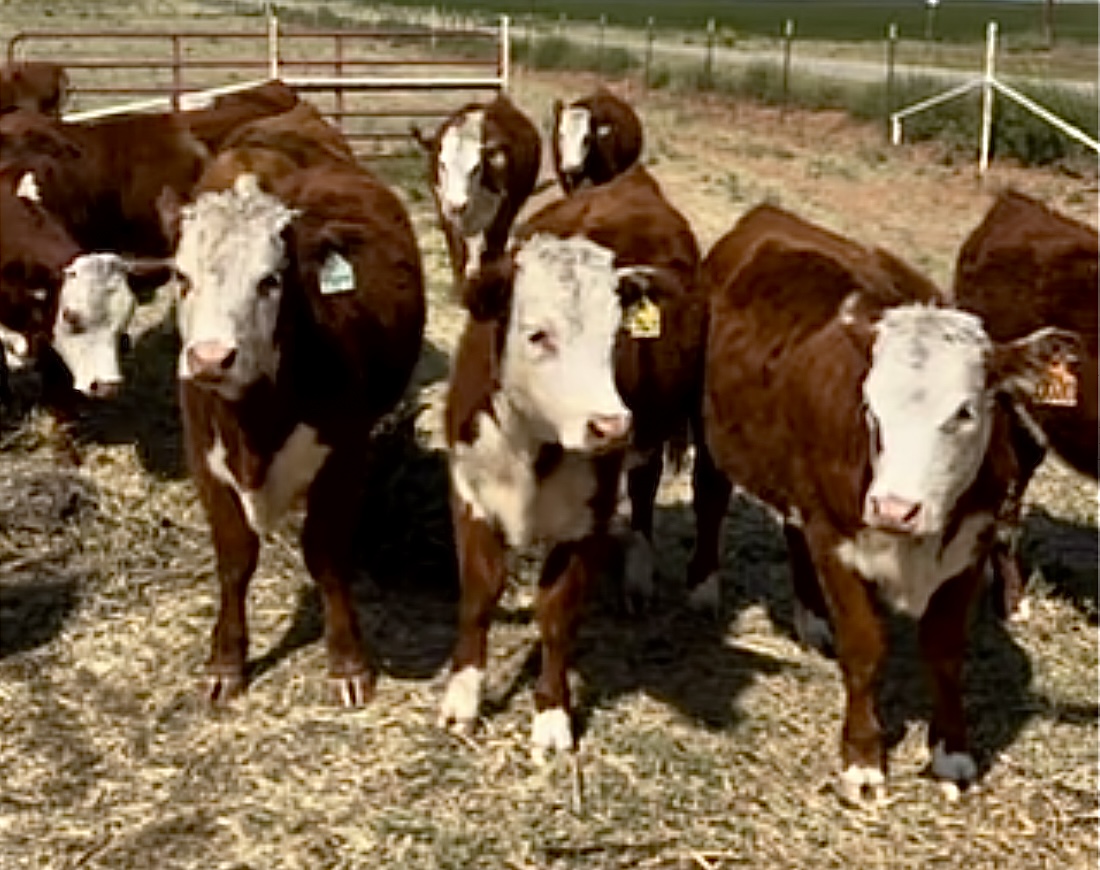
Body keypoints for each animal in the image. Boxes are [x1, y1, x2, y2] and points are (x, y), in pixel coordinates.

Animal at [167, 149, 424, 703]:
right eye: (182, 278)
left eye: (269, 281)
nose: (210, 358)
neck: (254, 425)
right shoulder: (204, 461)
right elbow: (235, 558)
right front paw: (225, 660)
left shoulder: (343, 457)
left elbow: (325, 555)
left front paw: (348, 661)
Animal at [413, 94, 541, 285]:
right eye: (442, 164)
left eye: (476, 167)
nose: (457, 204)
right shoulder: (446, 214)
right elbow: (458, 255)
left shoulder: (501, 215)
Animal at [444, 164, 712, 756]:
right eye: (537, 334)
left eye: (616, 337)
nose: (610, 425)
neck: (531, 443)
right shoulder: (469, 489)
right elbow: (478, 594)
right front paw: (463, 697)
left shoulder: (588, 515)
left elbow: (557, 613)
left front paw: (551, 715)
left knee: (644, 491)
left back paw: (637, 574)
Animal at [704, 204, 1073, 805]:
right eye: (871, 409)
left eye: (965, 411)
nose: (894, 509)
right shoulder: (835, 536)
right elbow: (864, 649)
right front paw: (862, 759)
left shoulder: (971, 544)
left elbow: (944, 651)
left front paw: (951, 753)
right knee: (709, 498)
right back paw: (705, 588)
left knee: (790, 528)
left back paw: (810, 619)